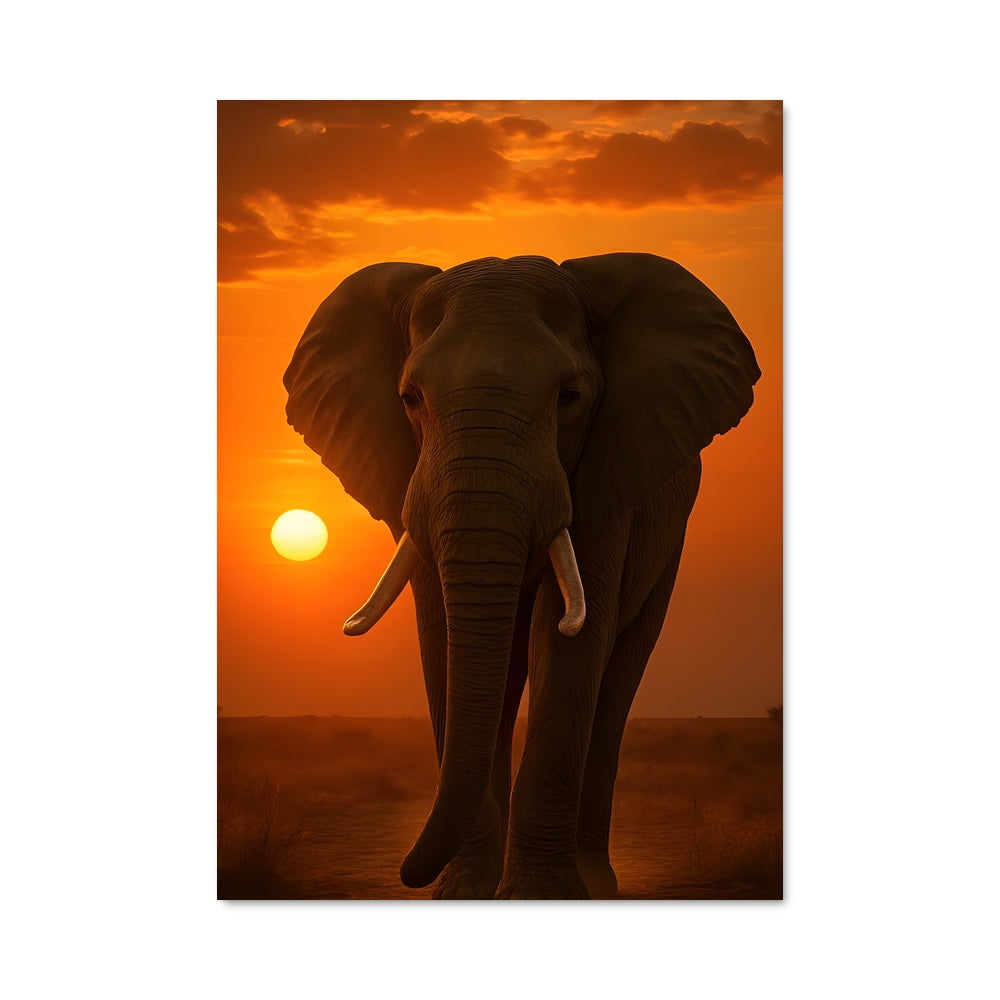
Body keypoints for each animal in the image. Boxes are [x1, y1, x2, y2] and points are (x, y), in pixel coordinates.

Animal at [283, 252, 760, 899]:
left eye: (570, 396)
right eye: (409, 399)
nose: (407, 873)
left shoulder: (606, 476)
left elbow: (570, 637)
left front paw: (540, 894)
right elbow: (445, 638)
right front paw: (462, 893)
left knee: (616, 679)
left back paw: (596, 882)